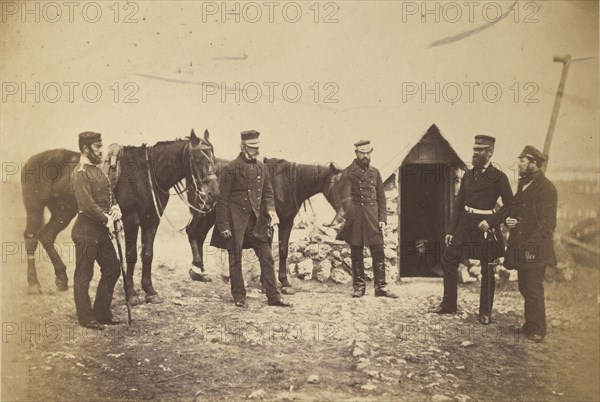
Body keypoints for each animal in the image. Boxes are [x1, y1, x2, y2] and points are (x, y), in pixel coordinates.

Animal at [20, 130, 220, 304]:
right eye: (198, 158)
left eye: (213, 157)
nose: (214, 194)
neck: (146, 174)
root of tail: (30, 161)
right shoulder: (131, 220)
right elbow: (131, 255)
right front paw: (131, 294)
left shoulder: (151, 220)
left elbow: (147, 254)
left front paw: (150, 291)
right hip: (34, 209)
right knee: (31, 238)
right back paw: (34, 285)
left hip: (63, 212)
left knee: (47, 236)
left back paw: (61, 278)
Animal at [185, 157, 350, 292]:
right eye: (338, 186)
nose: (345, 214)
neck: (288, 184)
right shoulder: (266, 223)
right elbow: (267, 251)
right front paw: (265, 284)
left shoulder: (286, 222)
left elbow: (282, 251)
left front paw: (284, 282)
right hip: (206, 211)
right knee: (192, 232)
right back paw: (197, 271)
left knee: (198, 235)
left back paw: (200, 272)